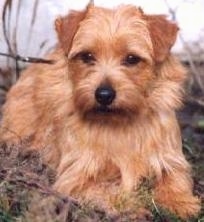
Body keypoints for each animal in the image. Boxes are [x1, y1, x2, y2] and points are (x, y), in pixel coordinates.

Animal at [0, 2, 201, 218]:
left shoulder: (170, 159)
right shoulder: (77, 176)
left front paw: (181, 203)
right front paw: (131, 206)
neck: (121, 122)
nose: (104, 95)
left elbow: (175, 180)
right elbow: (107, 189)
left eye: (132, 59)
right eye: (87, 56)